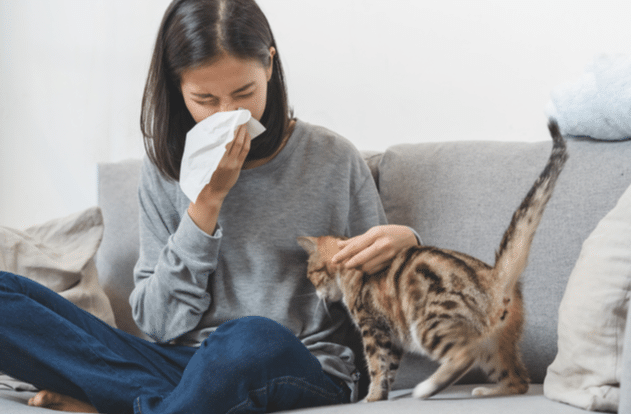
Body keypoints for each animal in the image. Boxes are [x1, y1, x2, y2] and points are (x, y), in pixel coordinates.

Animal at [296, 121, 568, 402]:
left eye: (311, 274)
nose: (316, 293)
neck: (351, 271)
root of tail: (493, 278)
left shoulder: (373, 327)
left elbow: (376, 366)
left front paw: (371, 398)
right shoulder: (391, 338)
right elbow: (389, 369)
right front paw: (381, 395)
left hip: (429, 325)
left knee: (464, 356)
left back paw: (426, 388)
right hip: (495, 344)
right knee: (518, 380)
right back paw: (486, 391)